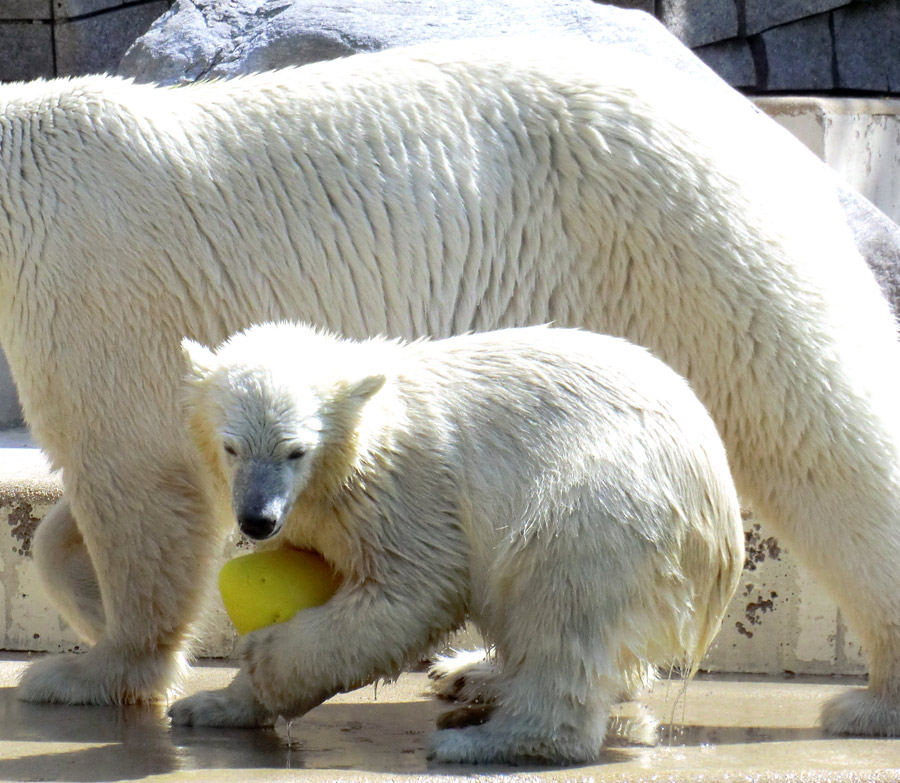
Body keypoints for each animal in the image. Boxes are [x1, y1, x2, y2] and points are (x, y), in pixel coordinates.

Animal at [10, 36, 900, 736]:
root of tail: (754, 126)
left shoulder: (89, 278)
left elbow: (134, 481)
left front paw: (88, 671)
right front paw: (86, 602)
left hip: (678, 237)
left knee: (816, 426)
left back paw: (873, 698)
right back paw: (481, 668)